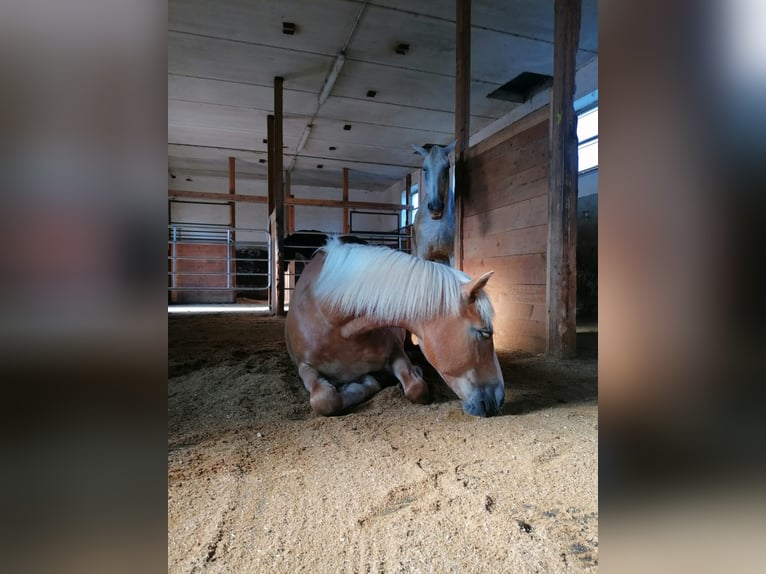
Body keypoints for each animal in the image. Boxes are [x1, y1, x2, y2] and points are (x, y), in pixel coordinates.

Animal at [284, 237, 508, 418]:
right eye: (485, 332)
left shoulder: (395, 352)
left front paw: (372, 380)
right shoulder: (304, 366)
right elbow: (326, 401)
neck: (335, 322)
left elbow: (416, 388)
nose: (499, 399)